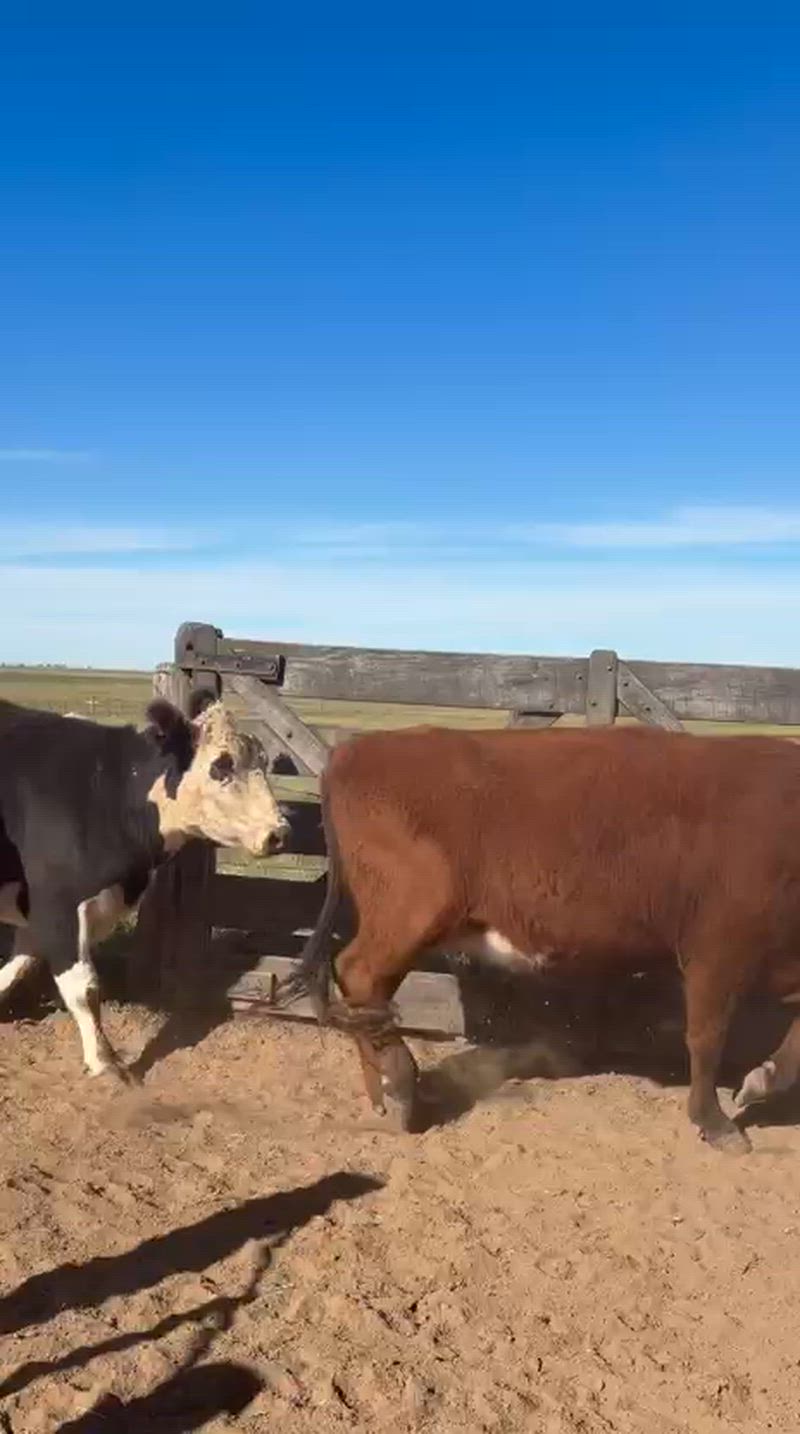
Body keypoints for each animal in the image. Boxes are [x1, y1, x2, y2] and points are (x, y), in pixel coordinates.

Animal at [0, 694, 289, 1080]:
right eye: (220, 766)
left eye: (263, 763)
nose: (279, 832)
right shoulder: (57, 903)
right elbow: (83, 987)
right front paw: (104, 1062)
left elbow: (18, 964)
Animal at [280, 722, 800, 1154]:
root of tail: (357, 748)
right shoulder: (718, 951)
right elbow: (708, 1038)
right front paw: (715, 1120)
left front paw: (761, 1081)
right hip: (412, 910)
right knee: (360, 972)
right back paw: (400, 1086)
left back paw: (384, 1093)